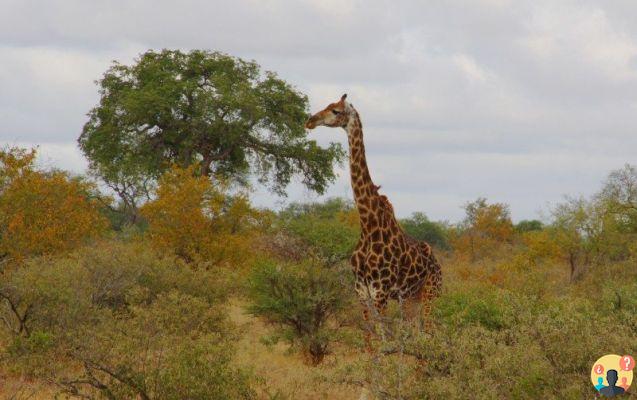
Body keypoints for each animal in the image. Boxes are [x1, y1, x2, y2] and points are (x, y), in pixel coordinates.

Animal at [306, 93, 440, 332]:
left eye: (336, 111)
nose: (310, 120)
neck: (369, 224)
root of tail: (439, 265)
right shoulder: (361, 291)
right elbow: (371, 339)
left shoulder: (381, 291)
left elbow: (383, 337)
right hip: (410, 299)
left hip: (430, 294)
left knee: (432, 333)